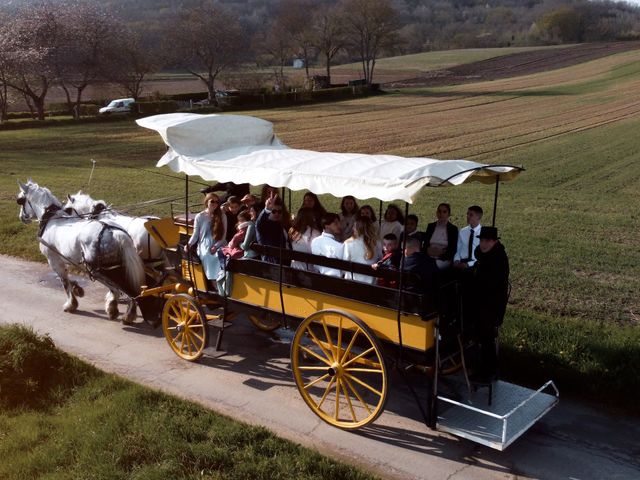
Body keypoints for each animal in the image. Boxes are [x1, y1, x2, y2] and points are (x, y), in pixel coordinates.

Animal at [15, 181, 146, 326]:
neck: (52, 220)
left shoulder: (54, 261)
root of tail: (114, 232)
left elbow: (64, 281)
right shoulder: (66, 259)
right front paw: (77, 289)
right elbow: (68, 279)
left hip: (97, 269)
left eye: (20, 200)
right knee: (124, 288)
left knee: (119, 289)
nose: (21, 217)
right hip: (116, 266)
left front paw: (71, 304)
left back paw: (120, 311)